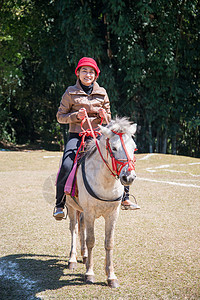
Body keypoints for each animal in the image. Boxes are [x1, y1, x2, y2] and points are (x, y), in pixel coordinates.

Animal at [65, 117, 137, 288]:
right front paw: (89, 273)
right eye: (114, 148)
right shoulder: (90, 212)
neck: (105, 183)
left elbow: (109, 243)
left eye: (134, 148)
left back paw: (84, 256)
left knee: (81, 227)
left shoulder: (112, 214)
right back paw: (72, 259)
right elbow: (91, 240)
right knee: (74, 229)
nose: (129, 177)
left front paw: (111, 276)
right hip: (71, 207)